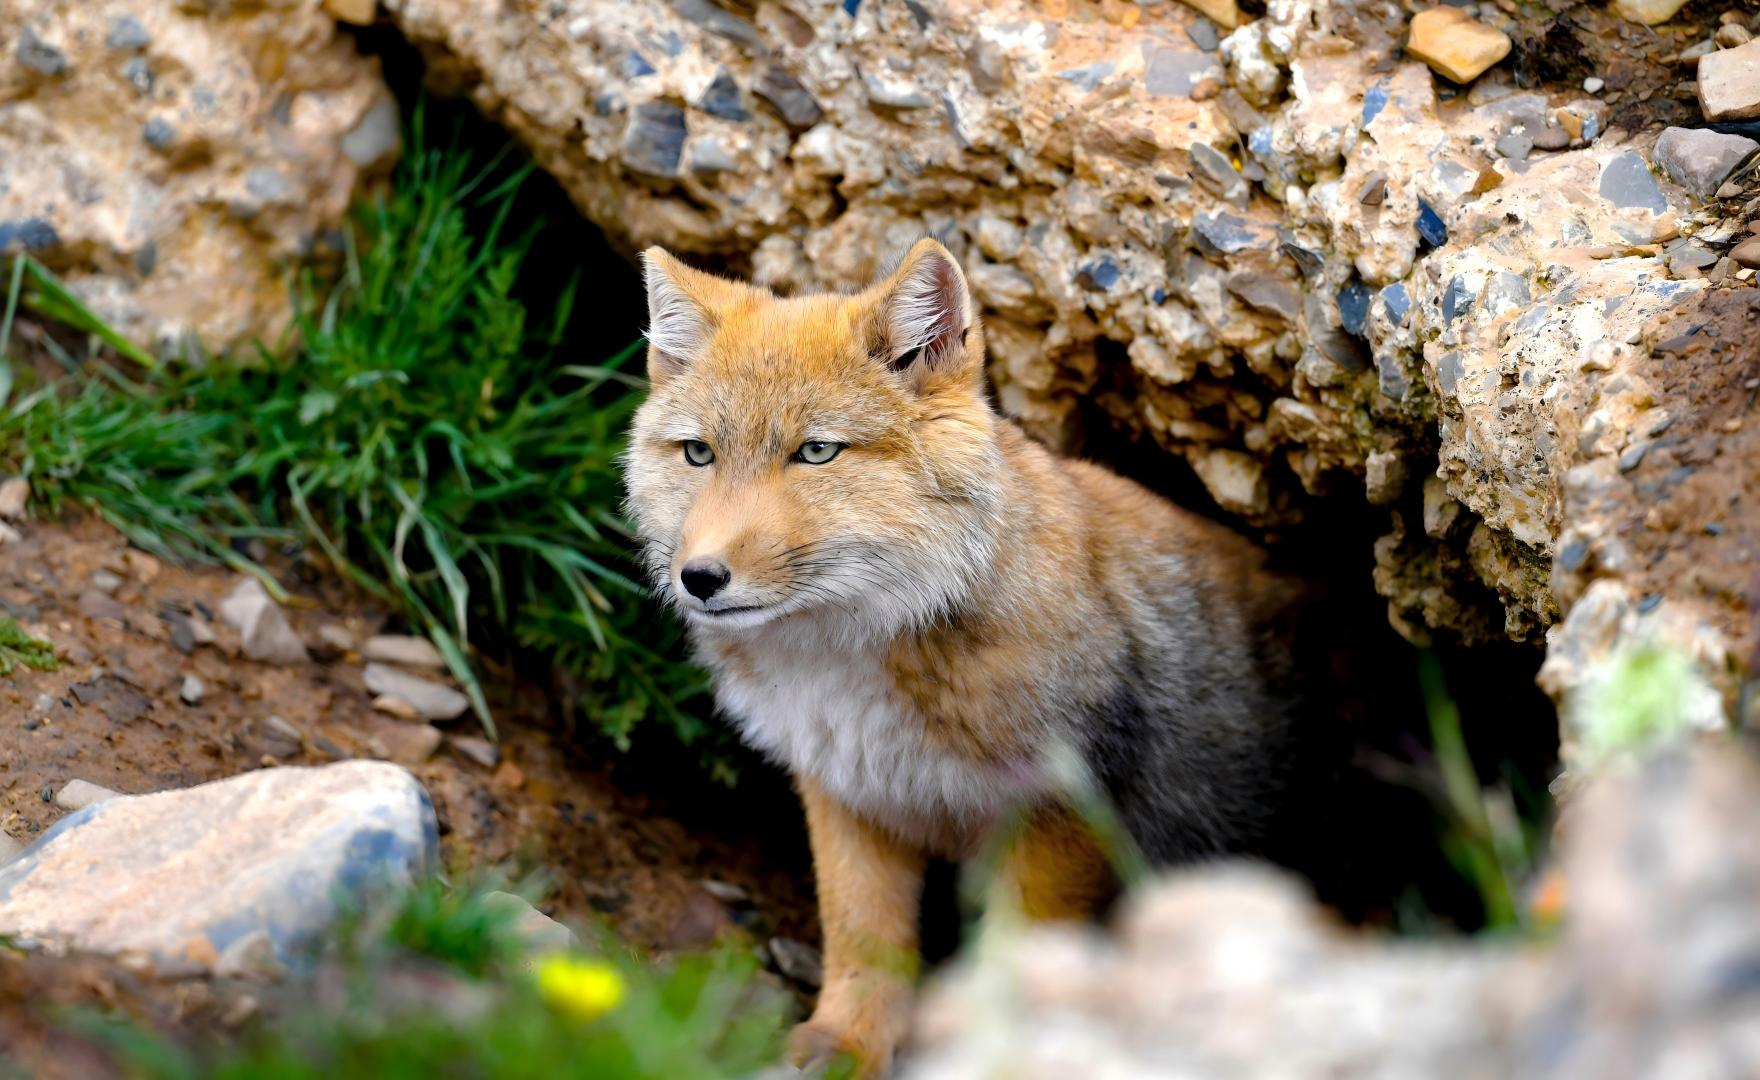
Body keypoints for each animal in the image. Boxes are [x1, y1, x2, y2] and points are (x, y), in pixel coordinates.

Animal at [623, 238, 1306, 1076]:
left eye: (815, 452)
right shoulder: (849, 792)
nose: (701, 578)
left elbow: (1018, 963)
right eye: (699, 454)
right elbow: (864, 937)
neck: (848, 662)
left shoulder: (1060, 812)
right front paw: (850, 1039)